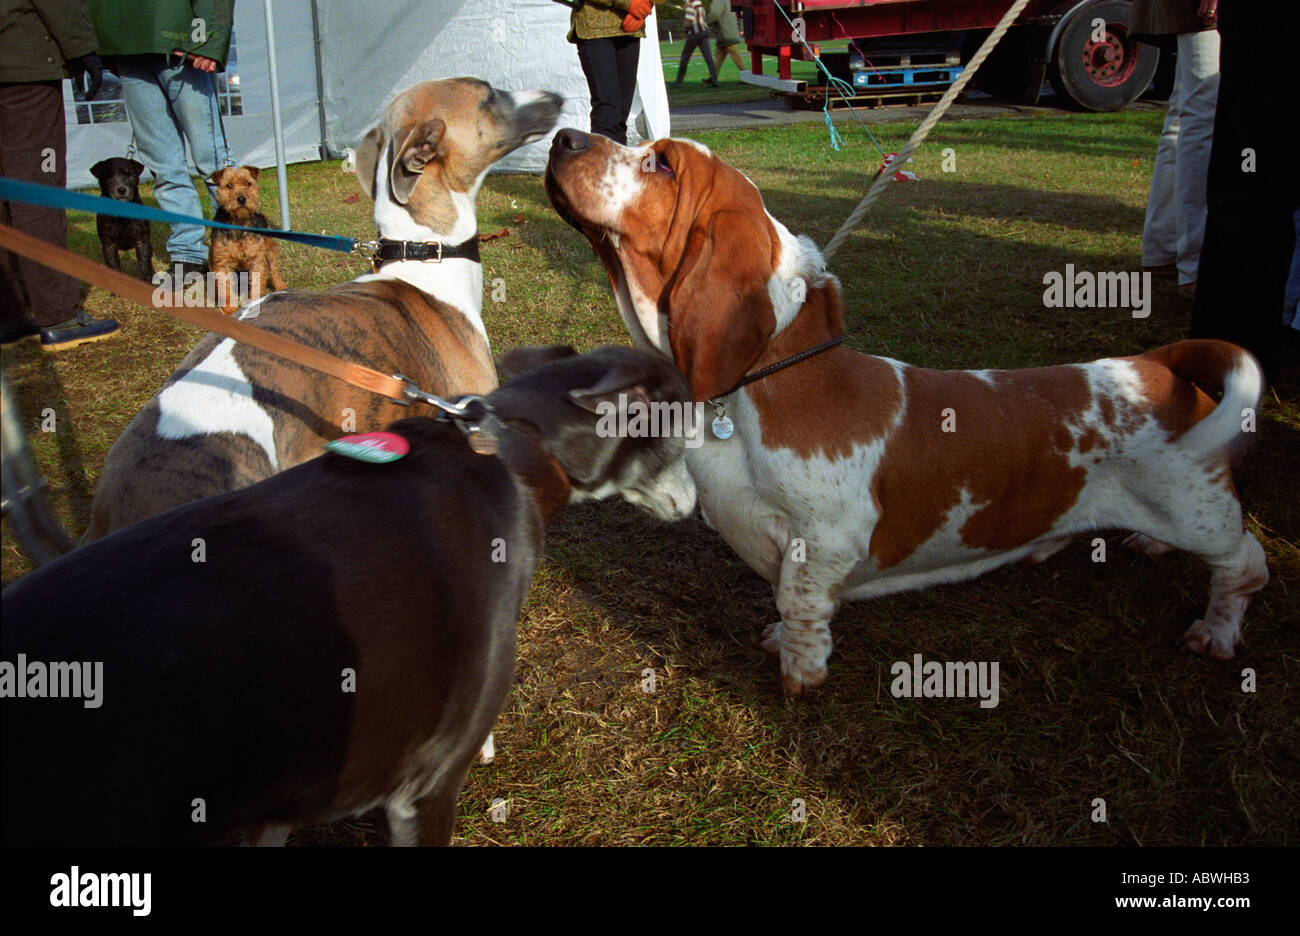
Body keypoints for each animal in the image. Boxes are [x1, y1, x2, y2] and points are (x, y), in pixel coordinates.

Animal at [208, 166, 287, 315]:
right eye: (228, 185)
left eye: (248, 183)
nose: (241, 199)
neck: (239, 223)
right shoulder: (222, 262)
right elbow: (225, 288)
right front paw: (229, 309)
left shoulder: (256, 259)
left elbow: (256, 284)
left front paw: (254, 303)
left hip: (269, 250)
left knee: (274, 270)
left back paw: (281, 286)